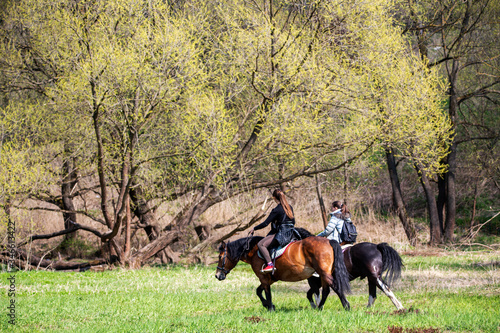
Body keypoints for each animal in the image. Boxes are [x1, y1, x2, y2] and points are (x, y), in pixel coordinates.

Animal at [215, 228, 352, 312]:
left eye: (220, 257)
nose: (217, 275)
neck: (253, 251)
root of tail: (329, 241)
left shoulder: (263, 278)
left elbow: (266, 293)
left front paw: (270, 307)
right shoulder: (269, 279)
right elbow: (258, 291)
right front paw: (268, 306)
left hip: (323, 273)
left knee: (335, 287)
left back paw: (346, 306)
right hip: (324, 274)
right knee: (326, 291)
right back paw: (320, 307)